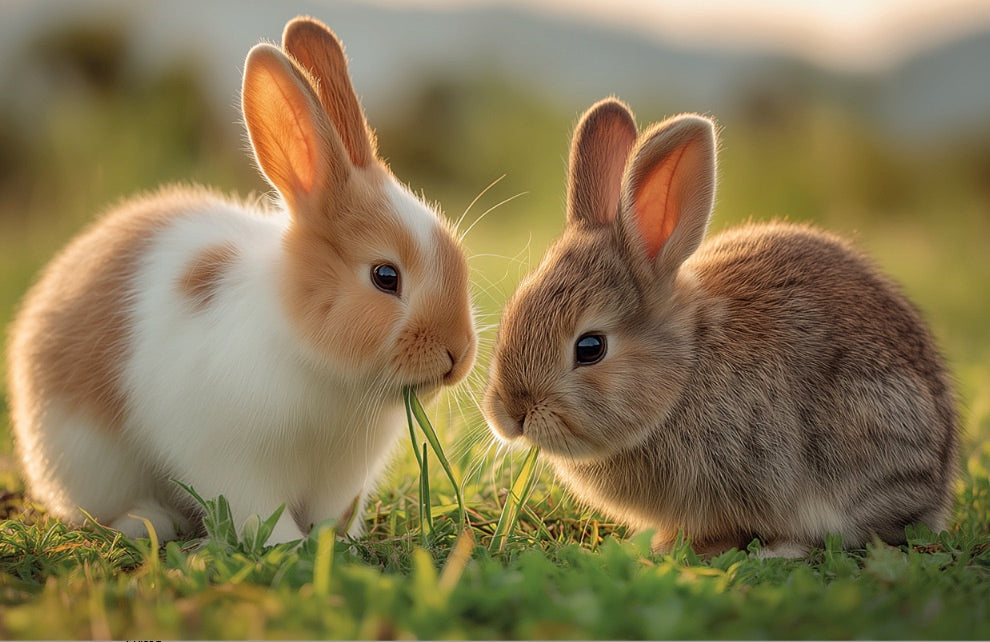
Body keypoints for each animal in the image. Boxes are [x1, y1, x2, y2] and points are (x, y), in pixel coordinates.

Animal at [6, 17, 476, 544]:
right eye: (386, 276)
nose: (459, 355)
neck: (318, 363)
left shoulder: (341, 478)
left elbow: (332, 512)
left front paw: (337, 543)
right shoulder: (234, 463)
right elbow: (259, 511)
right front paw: (291, 547)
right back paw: (148, 522)